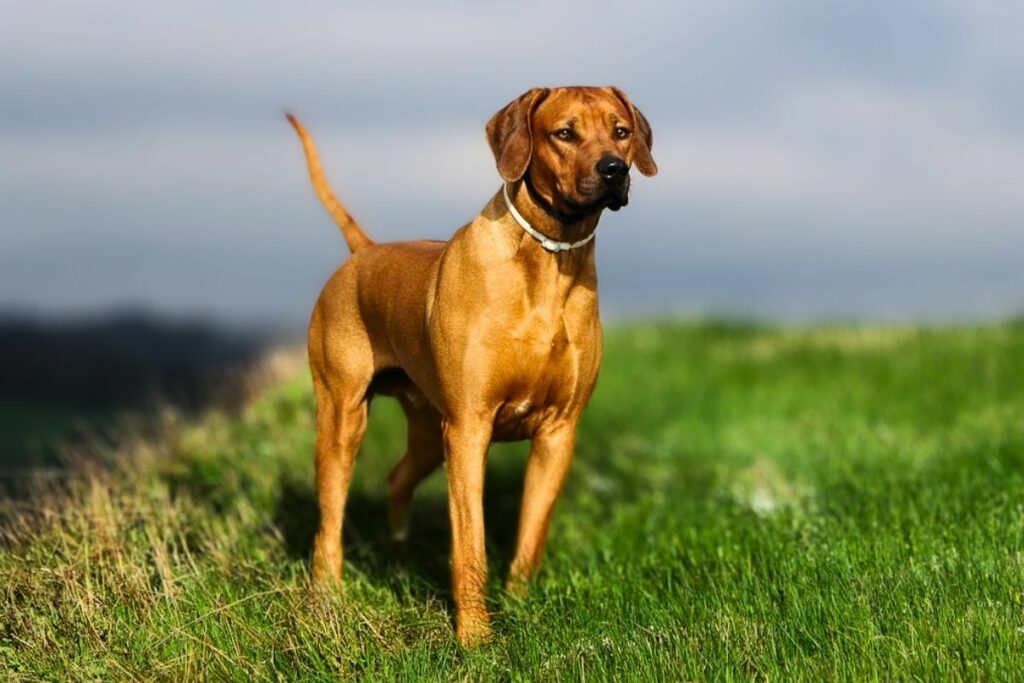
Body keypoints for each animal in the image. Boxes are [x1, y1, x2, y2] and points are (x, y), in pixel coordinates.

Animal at [288, 87, 655, 647]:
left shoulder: (558, 433)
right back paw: (327, 594)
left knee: (397, 477)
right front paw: (476, 638)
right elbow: (470, 546)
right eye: (564, 133)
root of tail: (364, 251)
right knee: (329, 518)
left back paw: (398, 550)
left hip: (424, 428)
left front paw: (519, 605)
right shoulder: (467, 429)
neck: (548, 259)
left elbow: (531, 535)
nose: (614, 169)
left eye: (621, 131)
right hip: (342, 417)